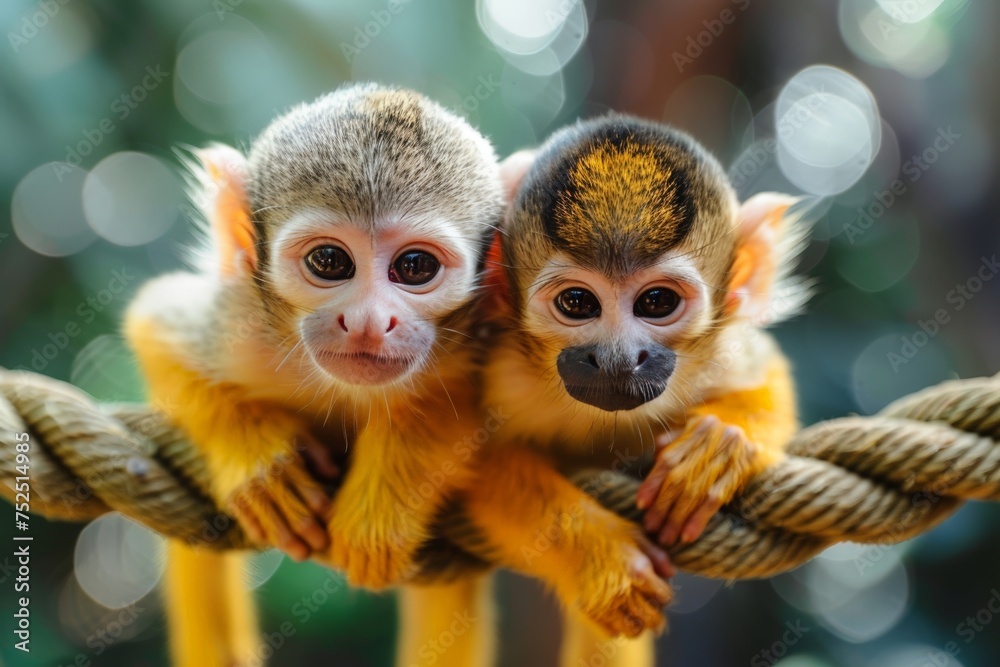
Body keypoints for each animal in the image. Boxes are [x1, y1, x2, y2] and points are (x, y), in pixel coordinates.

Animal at [124, 85, 673, 667]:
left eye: (414, 267)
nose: (368, 322)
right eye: (329, 261)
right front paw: (260, 464)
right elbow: (153, 327)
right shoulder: (241, 325)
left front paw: (379, 513)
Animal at [444, 115, 808, 667]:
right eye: (577, 302)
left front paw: (719, 445)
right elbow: (470, 458)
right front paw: (601, 560)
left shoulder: (718, 352)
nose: (617, 358)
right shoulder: (505, 366)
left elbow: (766, 372)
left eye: (657, 302)